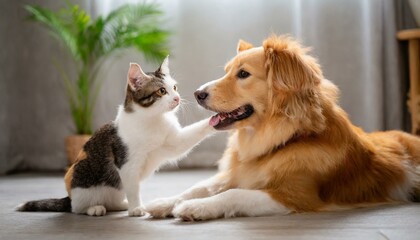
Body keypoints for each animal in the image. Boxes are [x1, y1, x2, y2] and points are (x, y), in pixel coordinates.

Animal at [16, 57, 215, 217]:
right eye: (161, 91)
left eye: (174, 87)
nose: (177, 98)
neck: (153, 119)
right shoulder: (127, 162)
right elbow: (133, 188)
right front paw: (136, 209)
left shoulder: (172, 141)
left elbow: (183, 143)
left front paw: (214, 121)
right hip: (80, 172)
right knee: (76, 208)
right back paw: (94, 208)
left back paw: (120, 204)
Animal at [146, 34, 420, 220]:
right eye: (226, 71)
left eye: (243, 74)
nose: (197, 93)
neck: (285, 138)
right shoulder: (235, 173)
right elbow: (198, 187)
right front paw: (164, 202)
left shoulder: (295, 196)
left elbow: (233, 194)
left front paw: (196, 208)